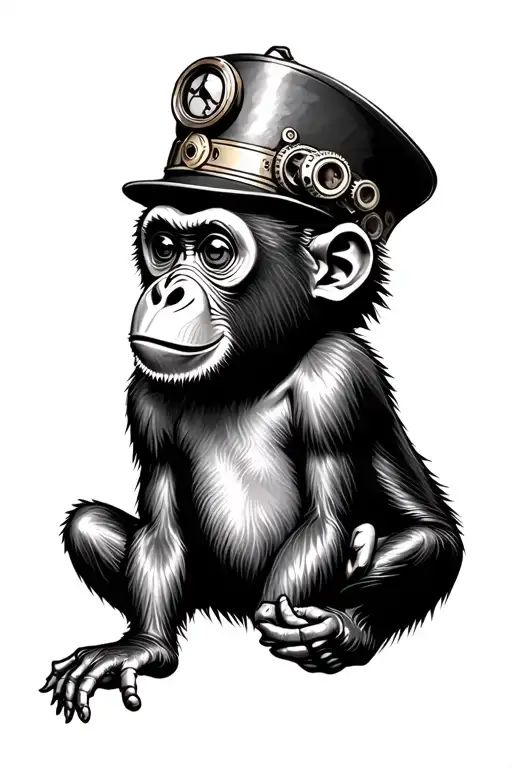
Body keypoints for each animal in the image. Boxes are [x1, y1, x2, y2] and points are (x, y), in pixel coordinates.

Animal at [40, 202, 463, 723]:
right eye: (164, 248)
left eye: (216, 251)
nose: (165, 290)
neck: (247, 376)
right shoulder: (145, 401)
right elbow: (159, 529)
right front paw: (143, 647)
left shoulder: (337, 377)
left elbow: (327, 520)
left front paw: (316, 625)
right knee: (87, 525)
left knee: (429, 540)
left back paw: (346, 626)